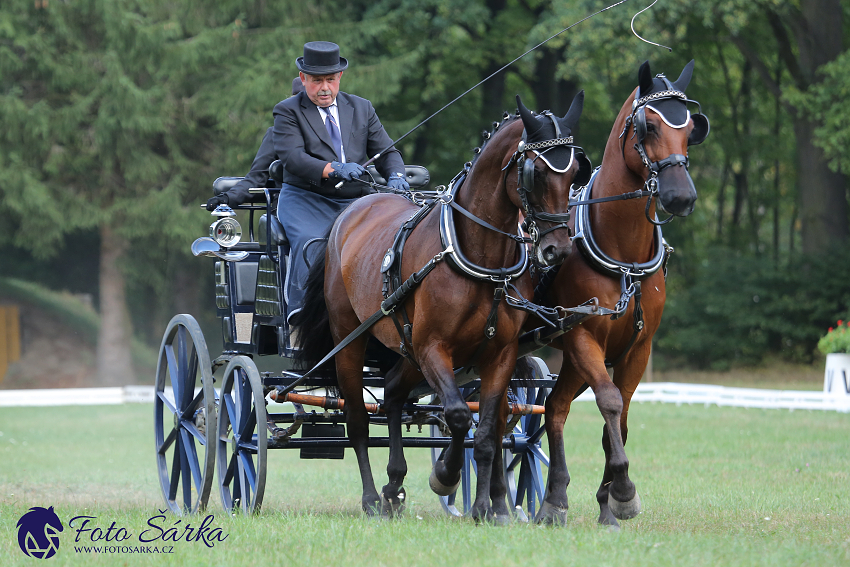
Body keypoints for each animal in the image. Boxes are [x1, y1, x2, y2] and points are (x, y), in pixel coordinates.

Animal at [298, 92, 588, 520]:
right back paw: (371, 497)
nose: (558, 250)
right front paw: (446, 475)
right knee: (358, 420)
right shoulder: (433, 347)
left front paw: (485, 508)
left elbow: (487, 430)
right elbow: (457, 415)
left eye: (574, 175)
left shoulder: (499, 354)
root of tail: (351, 211)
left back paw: (394, 485)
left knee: (393, 394)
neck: (480, 257)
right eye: (535, 173)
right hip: (351, 339)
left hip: (405, 348)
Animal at [536, 61, 708, 528]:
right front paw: (625, 490)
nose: (680, 196)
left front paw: (608, 501)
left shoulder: (639, 347)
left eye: (691, 128)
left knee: (555, 406)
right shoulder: (582, 337)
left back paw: (554, 497)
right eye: (649, 125)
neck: (623, 254)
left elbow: (623, 418)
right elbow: (610, 403)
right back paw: (550, 497)